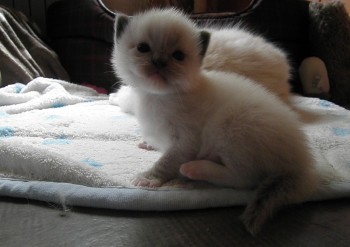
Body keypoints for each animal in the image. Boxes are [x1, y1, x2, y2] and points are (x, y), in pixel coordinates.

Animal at [110, 8, 318, 235]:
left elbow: (167, 161)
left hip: (233, 131)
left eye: (178, 56)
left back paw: (193, 169)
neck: (158, 96)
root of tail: (299, 163)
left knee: (245, 179)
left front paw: (148, 178)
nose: (159, 62)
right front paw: (147, 144)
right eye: (143, 48)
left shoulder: (186, 141)